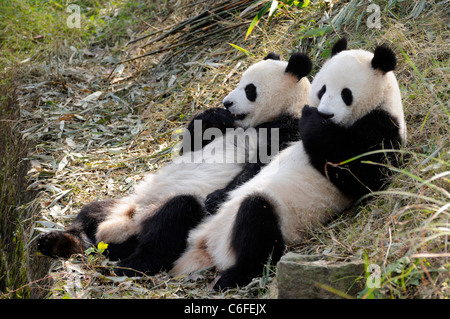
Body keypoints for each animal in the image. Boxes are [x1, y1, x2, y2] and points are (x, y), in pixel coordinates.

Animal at [37, 52, 312, 272]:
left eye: (250, 89)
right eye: (239, 82)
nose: (227, 102)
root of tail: (124, 225)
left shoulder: (290, 131)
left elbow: (260, 168)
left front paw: (218, 196)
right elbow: (191, 145)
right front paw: (213, 114)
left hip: (175, 216)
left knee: (174, 221)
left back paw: (130, 265)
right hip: (120, 204)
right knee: (88, 215)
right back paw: (59, 243)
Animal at [173, 38, 408, 292]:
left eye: (346, 94)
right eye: (322, 89)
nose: (325, 113)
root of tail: (207, 245)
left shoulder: (381, 127)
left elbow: (362, 174)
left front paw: (312, 120)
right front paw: (213, 117)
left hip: (270, 220)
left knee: (257, 223)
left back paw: (232, 276)